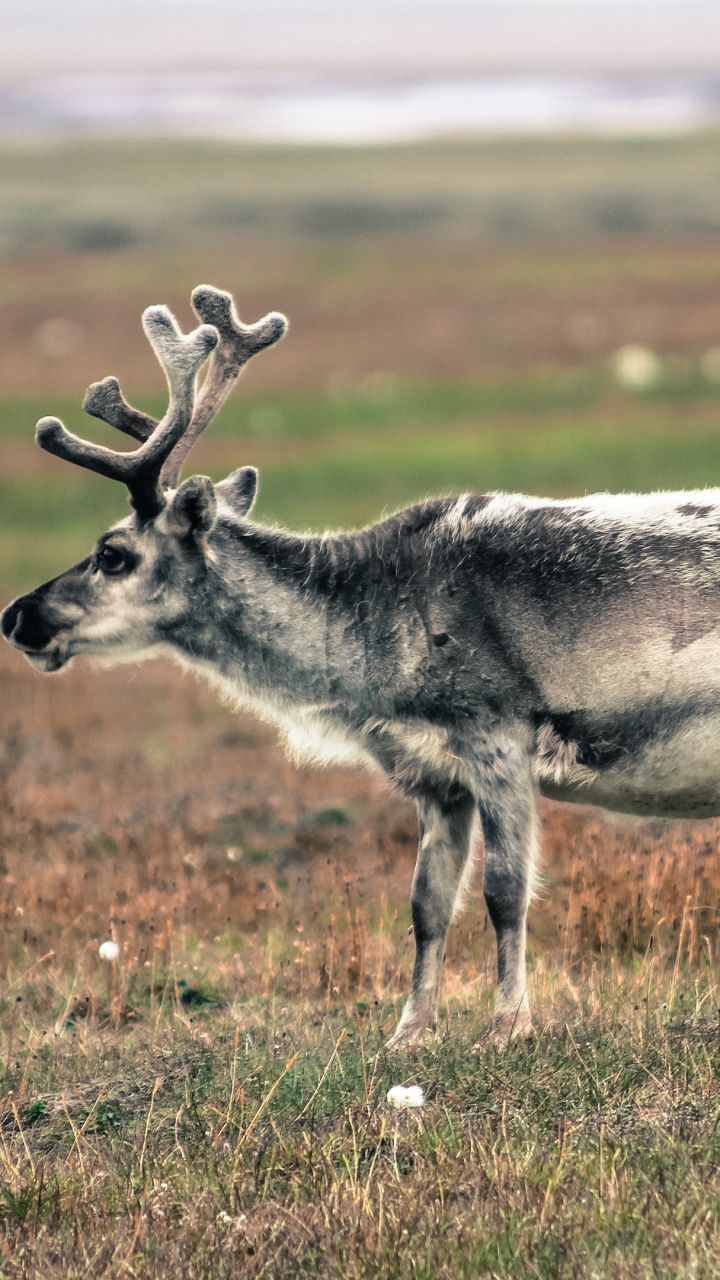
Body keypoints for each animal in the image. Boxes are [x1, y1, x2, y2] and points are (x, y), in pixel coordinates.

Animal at [3, 283, 720, 1051]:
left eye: (112, 554)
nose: (16, 615)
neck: (369, 642)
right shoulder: (435, 778)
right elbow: (427, 903)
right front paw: (408, 1034)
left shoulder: (496, 734)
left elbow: (504, 890)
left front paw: (508, 1026)